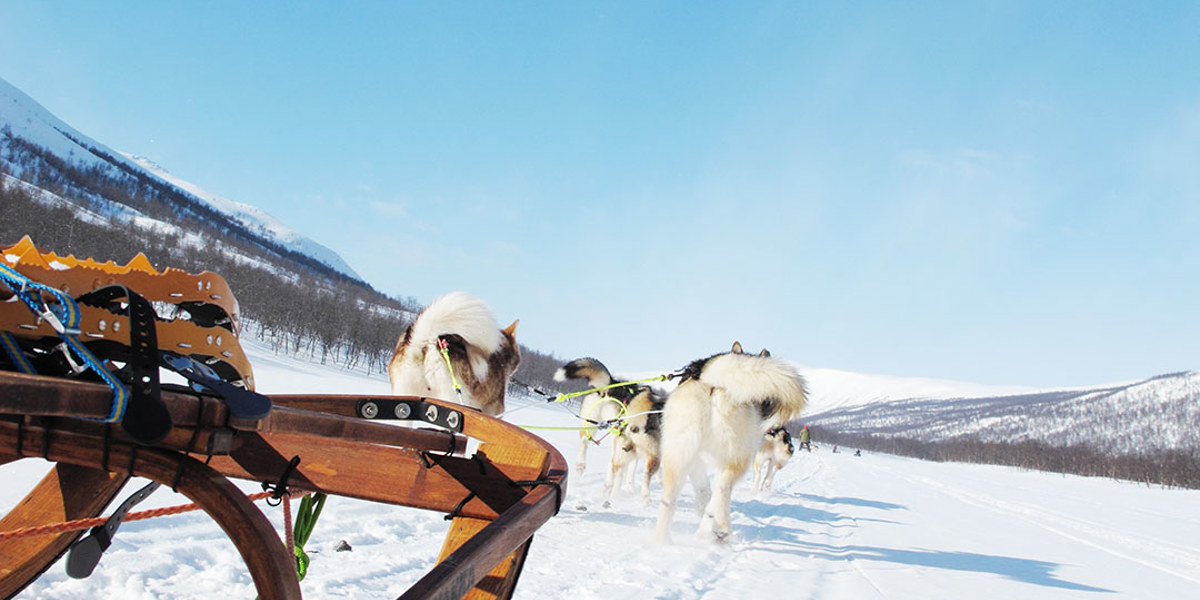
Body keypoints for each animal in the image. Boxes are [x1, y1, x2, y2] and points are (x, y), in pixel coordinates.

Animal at [652, 343, 811, 544]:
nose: (787, 441)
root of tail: (711, 380)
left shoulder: (697, 463)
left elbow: (704, 493)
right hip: (737, 457)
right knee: (723, 489)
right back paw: (722, 529)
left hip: (678, 455)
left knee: (669, 500)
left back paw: (662, 540)